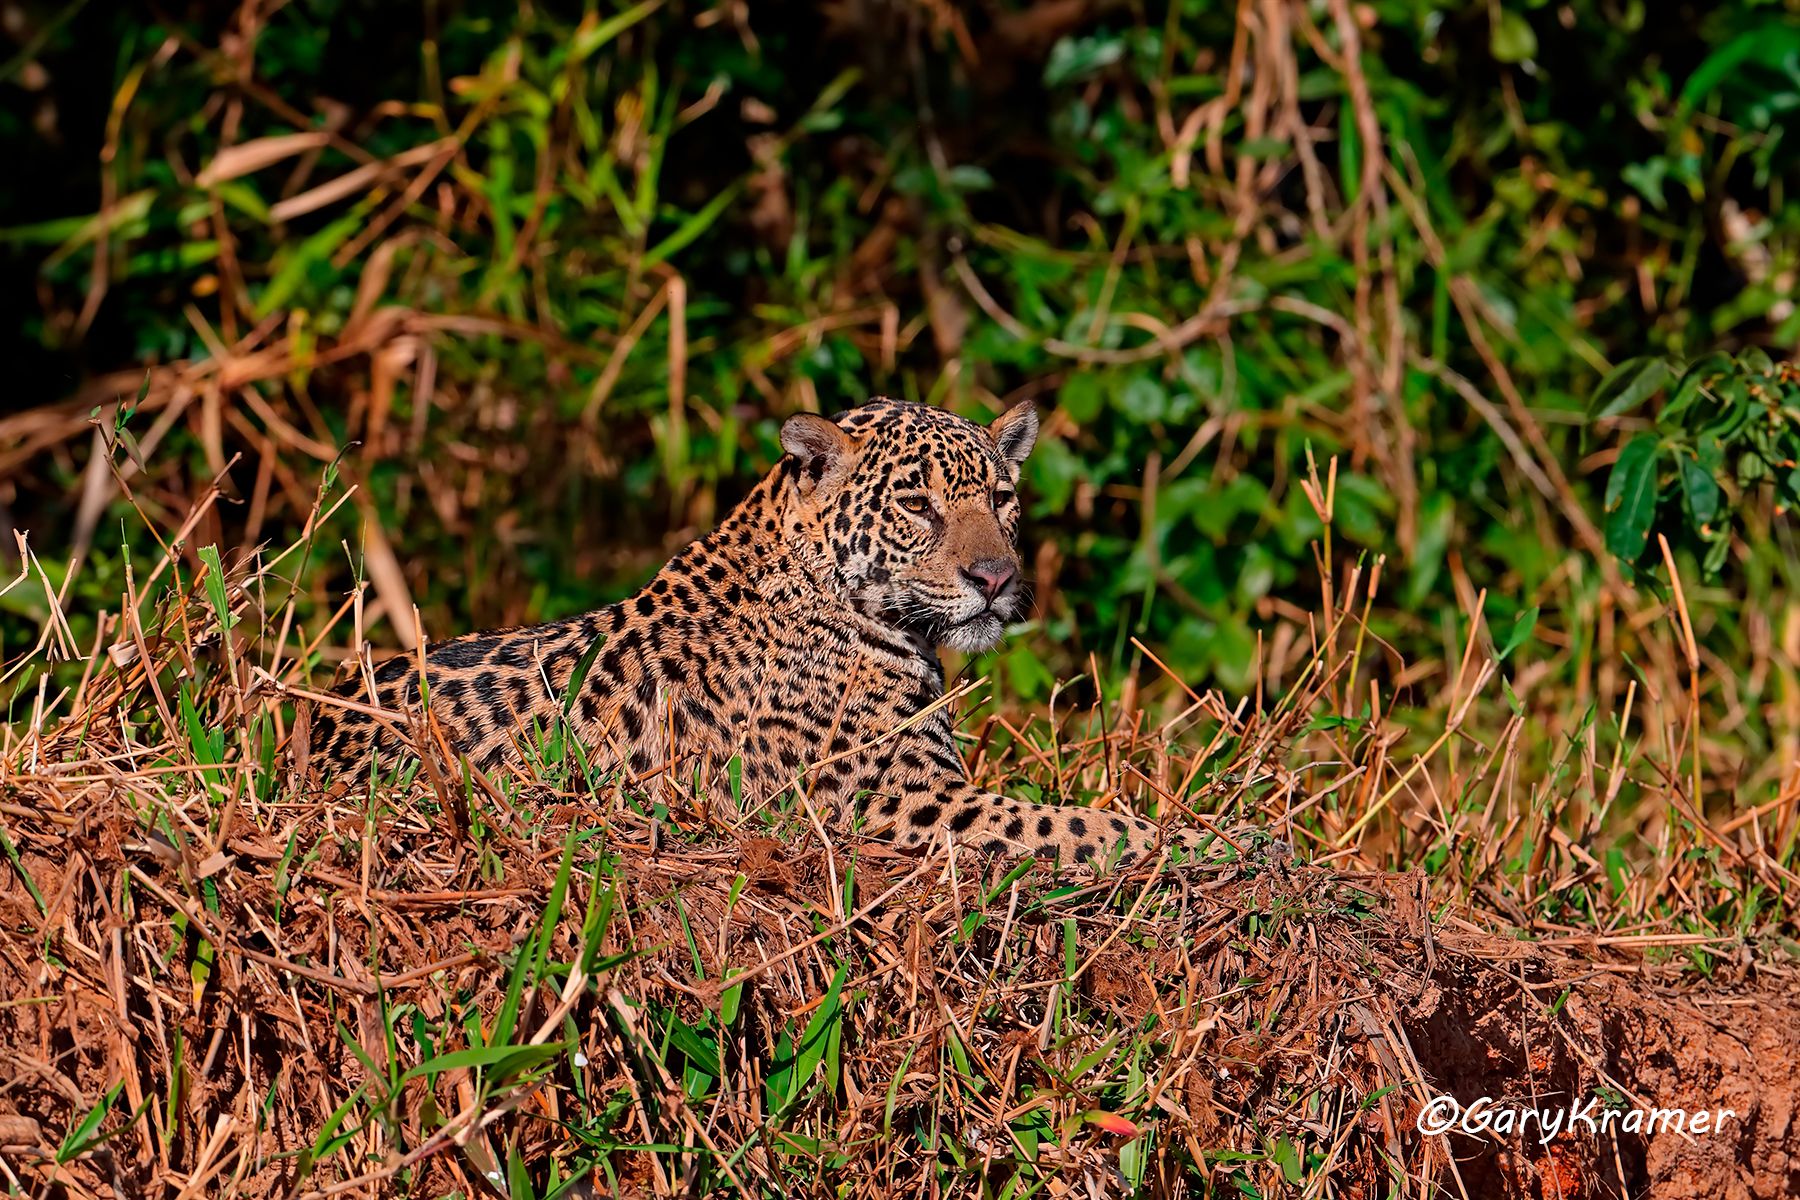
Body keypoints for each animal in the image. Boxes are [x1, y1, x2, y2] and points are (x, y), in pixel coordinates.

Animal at [303, 398, 1193, 865]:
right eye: (916, 505)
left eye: (1003, 499)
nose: (996, 580)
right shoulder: (892, 805)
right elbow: (1059, 822)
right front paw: (1189, 841)